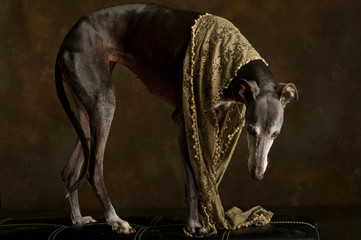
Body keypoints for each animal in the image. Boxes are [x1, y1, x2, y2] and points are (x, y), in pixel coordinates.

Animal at [55, 2, 298, 237]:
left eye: (275, 134)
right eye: (250, 130)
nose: (257, 175)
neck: (234, 65)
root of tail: (68, 38)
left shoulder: (217, 119)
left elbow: (208, 175)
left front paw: (210, 218)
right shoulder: (184, 119)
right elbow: (192, 177)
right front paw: (194, 224)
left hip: (87, 110)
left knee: (70, 170)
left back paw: (78, 219)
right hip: (104, 102)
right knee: (93, 169)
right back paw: (115, 220)